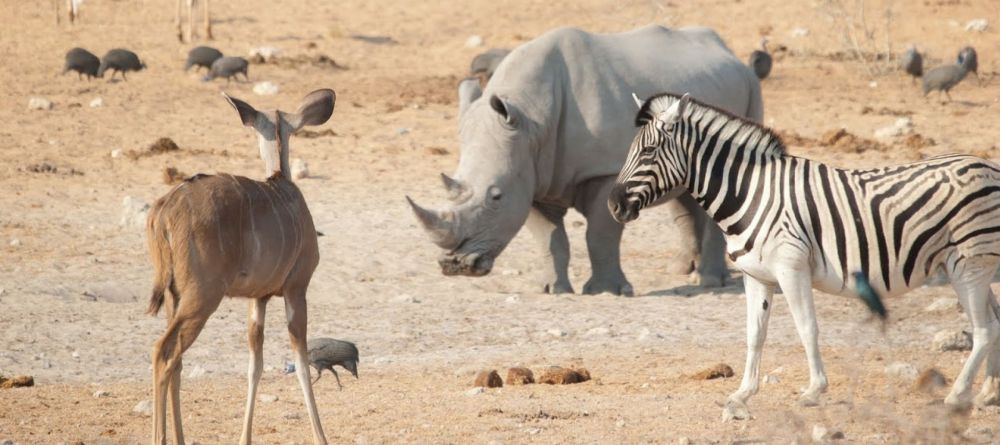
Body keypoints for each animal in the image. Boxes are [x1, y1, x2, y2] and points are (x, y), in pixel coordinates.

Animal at [408, 25, 763, 295]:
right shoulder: (533, 175)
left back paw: (709, 280)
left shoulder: (604, 172)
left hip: (751, 88)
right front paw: (550, 289)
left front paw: (607, 291)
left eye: (496, 197)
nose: (455, 265)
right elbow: (550, 239)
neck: (530, 120)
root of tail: (730, 53)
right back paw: (681, 269)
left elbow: (600, 235)